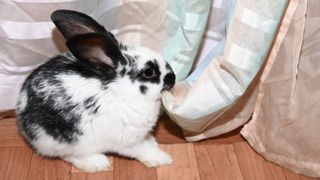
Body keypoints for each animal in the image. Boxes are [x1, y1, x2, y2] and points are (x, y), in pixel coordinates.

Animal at [15, 9, 175, 173]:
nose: (173, 78)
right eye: (149, 72)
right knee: (69, 155)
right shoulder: (128, 141)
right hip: (65, 142)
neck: (121, 93)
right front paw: (162, 159)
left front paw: (153, 142)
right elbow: (144, 150)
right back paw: (97, 163)